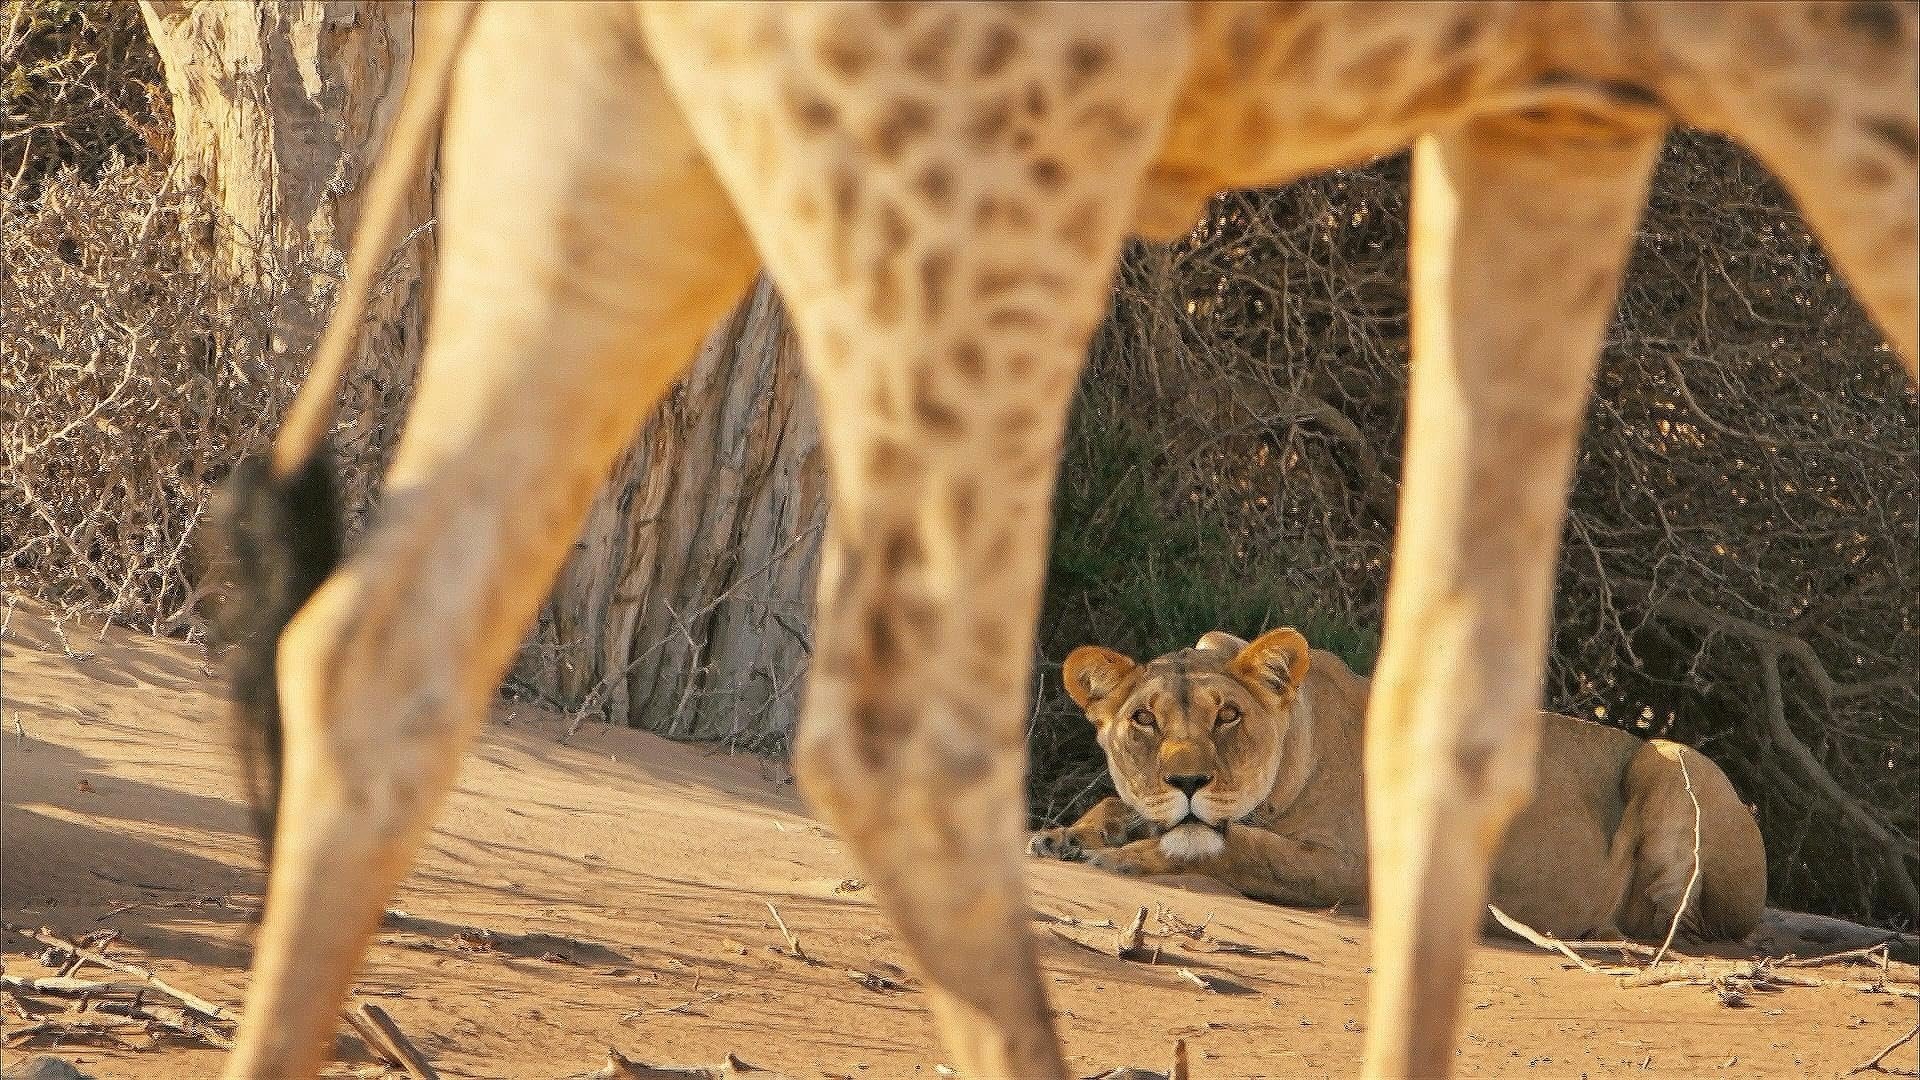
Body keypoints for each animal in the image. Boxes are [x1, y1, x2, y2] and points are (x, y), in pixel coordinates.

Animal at [1033, 628, 1768, 943]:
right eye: (1144, 719)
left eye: (1228, 716)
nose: (1187, 780)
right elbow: (1130, 810)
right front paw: (1065, 835)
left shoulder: (1359, 867)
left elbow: (1237, 847)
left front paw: (1119, 856)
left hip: (1670, 758)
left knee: (1684, 925)